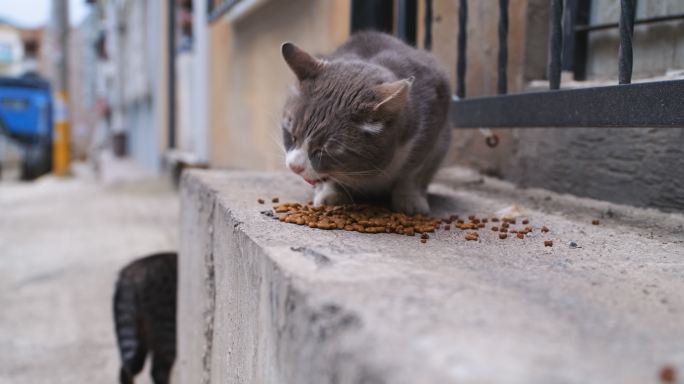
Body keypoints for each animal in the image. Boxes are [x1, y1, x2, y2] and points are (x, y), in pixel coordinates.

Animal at [280, 31, 452, 214]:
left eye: (324, 151)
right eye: (292, 136)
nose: (294, 167)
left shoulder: (430, 127)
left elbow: (414, 171)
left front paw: (409, 199)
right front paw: (331, 194)